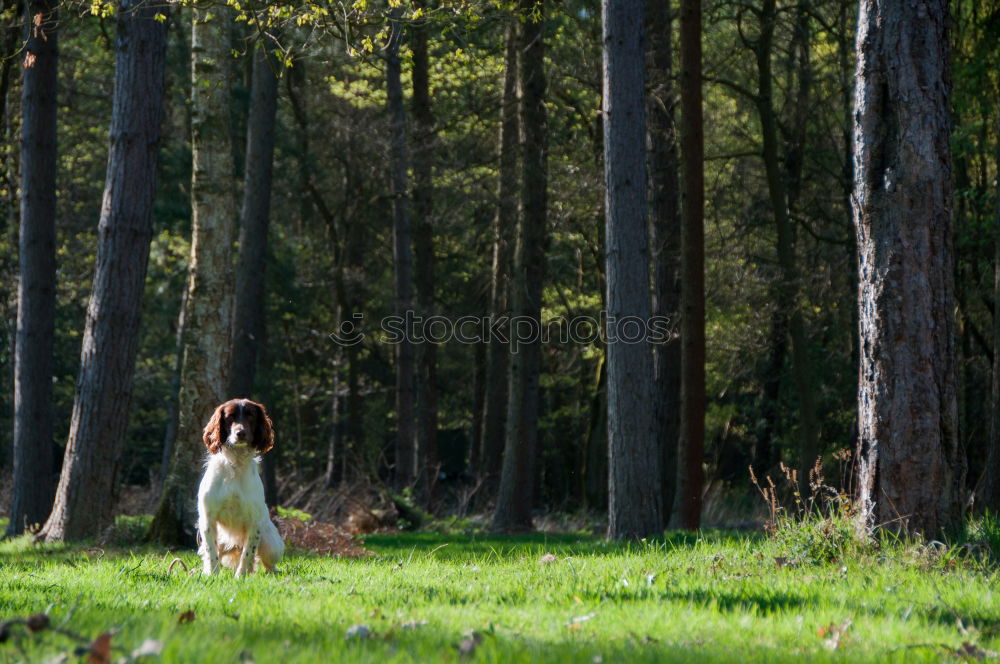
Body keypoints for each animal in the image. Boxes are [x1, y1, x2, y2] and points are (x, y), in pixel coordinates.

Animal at [197, 400, 286, 576]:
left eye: (251, 416)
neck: (236, 463)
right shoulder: (208, 518)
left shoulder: (254, 522)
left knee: (266, 562)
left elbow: (248, 553)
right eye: (230, 417)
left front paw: (240, 576)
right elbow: (211, 552)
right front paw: (213, 575)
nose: (241, 433)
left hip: (272, 545)